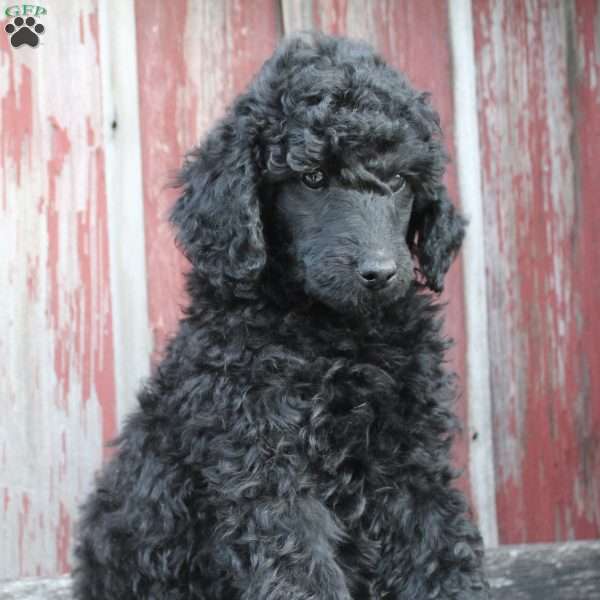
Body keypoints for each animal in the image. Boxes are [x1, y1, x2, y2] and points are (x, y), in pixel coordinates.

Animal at [74, 34, 488, 600]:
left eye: (401, 181)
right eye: (312, 179)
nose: (380, 272)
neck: (335, 334)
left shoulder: (413, 461)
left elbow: (441, 549)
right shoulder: (266, 466)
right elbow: (302, 570)